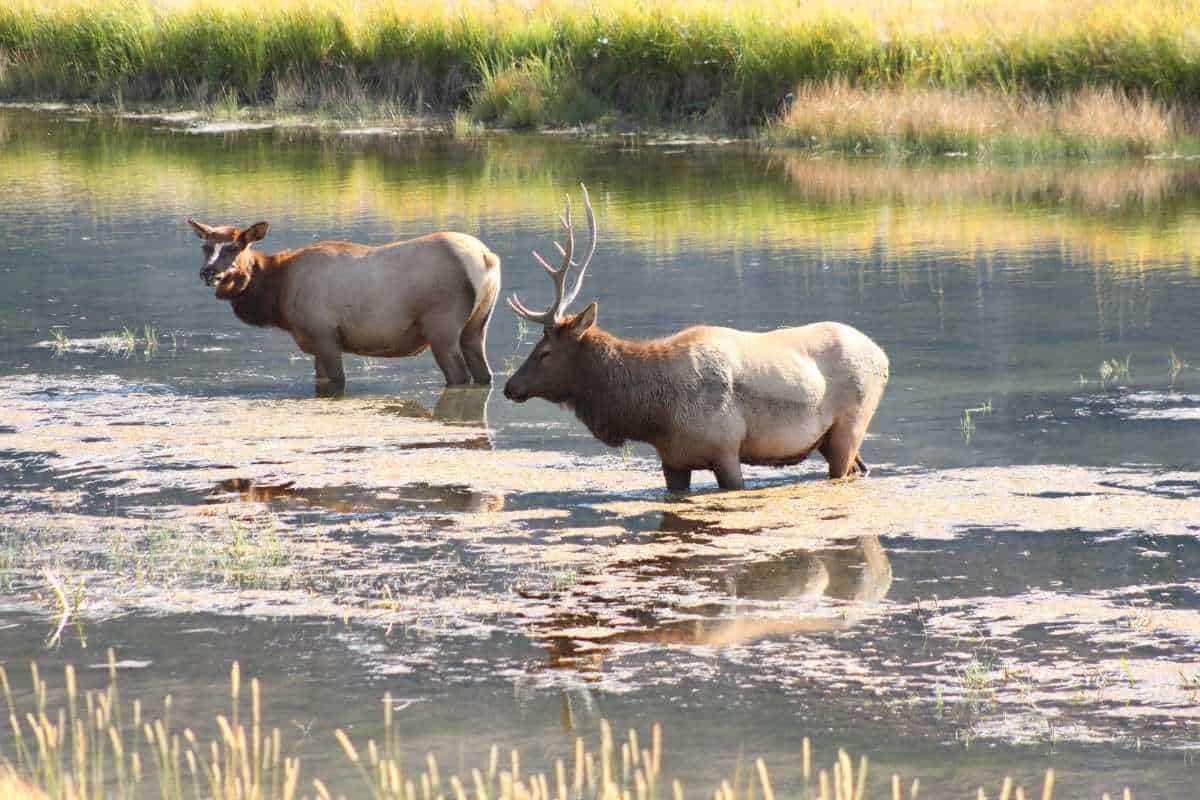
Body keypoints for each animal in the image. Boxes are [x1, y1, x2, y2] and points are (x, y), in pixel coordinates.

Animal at [186, 220, 501, 393]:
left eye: (233, 247)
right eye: (205, 247)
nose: (206, 272)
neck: (278, 294)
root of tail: (488, 258)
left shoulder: (325, 333)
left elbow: (338, 382)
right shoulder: (313, 340)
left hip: (441, 327)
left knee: (459, 376)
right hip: (477, 325)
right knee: (484, 374)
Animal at [501, 184, 888, 491]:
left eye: (545, 351)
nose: (509, 386)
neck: (655, 416)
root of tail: (883, 356)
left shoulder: (726, 449)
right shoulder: (673, 460)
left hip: (851, 423)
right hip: (831, 438)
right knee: (862, 468)